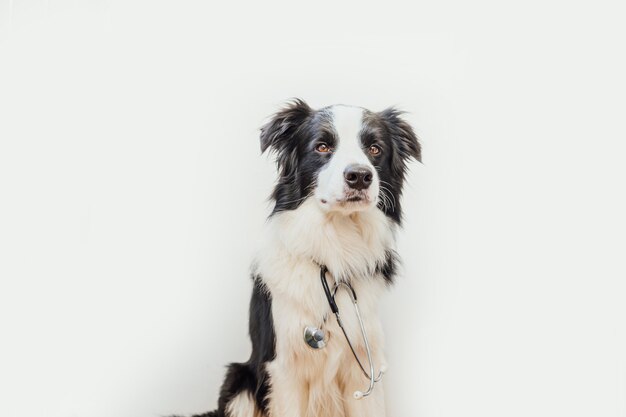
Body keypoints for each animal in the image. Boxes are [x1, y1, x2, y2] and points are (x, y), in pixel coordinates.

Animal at [195, 100, 420, 416]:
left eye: (375, 149)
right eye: (322, 147)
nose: (360, 176)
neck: (337, 246)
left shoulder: (365, 366)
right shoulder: (284, 369)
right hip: (240, 380)